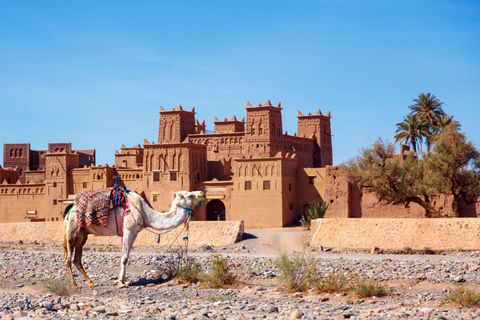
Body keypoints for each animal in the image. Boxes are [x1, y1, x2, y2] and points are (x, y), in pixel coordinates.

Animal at [62, 189, 204, 288]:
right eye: (190, 195)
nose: (202, 192)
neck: (145, 213)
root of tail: (69, 210)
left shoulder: (135, 233)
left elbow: (127, 256)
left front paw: (125, 280)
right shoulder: (128, 229)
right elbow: (124, 257)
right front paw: (121, 283)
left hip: (83, 234)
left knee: (77, 259)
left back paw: (91, 282)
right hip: (72, 229)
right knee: (68, 258)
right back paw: (75, 284)